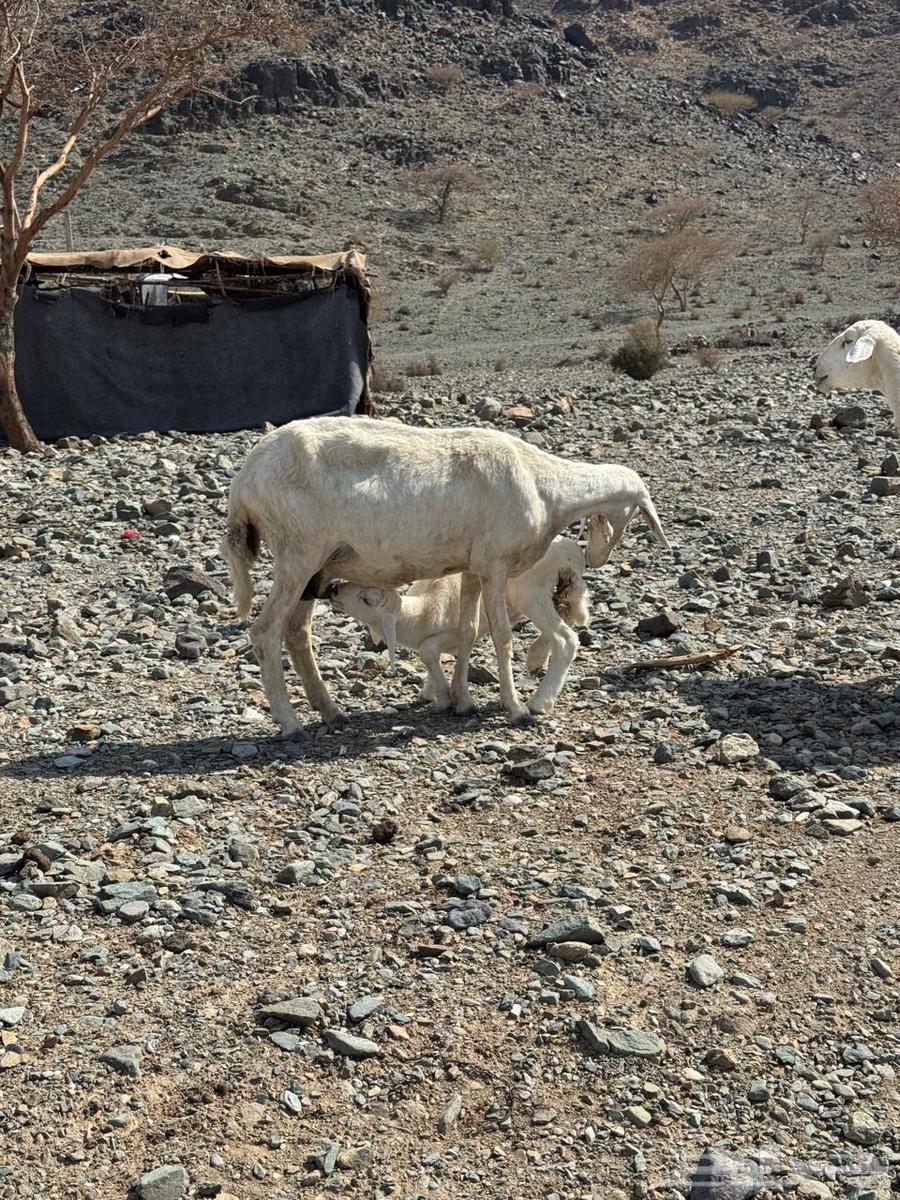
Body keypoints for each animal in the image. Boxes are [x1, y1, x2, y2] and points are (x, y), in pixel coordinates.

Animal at [329, 534, 591, 715]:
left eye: (367, 599)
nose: (333, 589)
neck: (421, 612)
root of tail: (570, 550)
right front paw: (430, 691)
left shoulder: (453, 634)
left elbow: (428, 650)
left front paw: (444, 697)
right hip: (558, 592)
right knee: (568, 616)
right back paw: (536, 658)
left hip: (530, 593)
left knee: (565, 639)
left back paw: (539, 702)